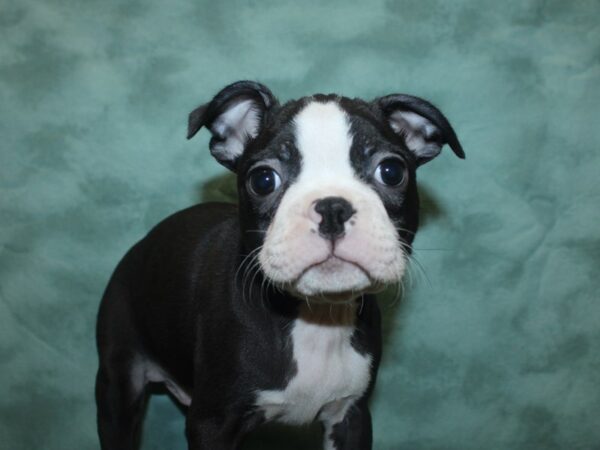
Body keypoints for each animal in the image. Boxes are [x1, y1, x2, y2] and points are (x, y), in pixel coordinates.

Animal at [95, 81, 464, 450]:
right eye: (263, 180)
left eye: (391, 171)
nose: (332, 208)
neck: (318, 317)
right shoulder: (212, 423)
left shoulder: (352, 416)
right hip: (118, 386)